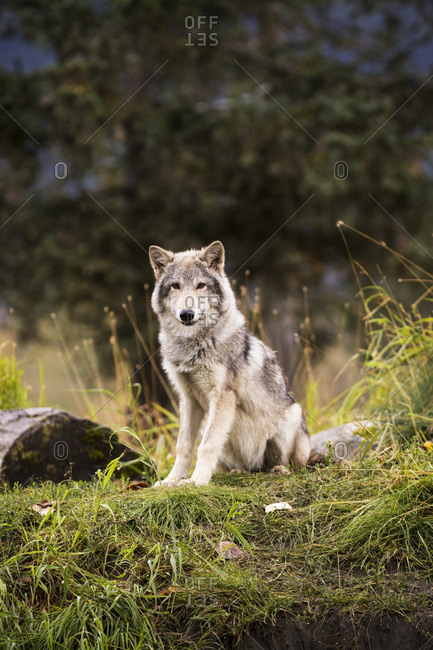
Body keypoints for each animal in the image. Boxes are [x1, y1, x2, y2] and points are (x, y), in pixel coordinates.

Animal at [149, 241, 310, 487]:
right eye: (176, 286)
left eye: (201, 286)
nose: (187, 314)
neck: (193, 345)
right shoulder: (188, 398)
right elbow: (183, 446)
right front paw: (171, 481)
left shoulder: (223, 395)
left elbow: (206, 445)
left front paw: (197, 481)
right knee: (248, 468)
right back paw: (238, 472)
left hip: (293, 414)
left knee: (287, 465)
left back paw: (279, 470)